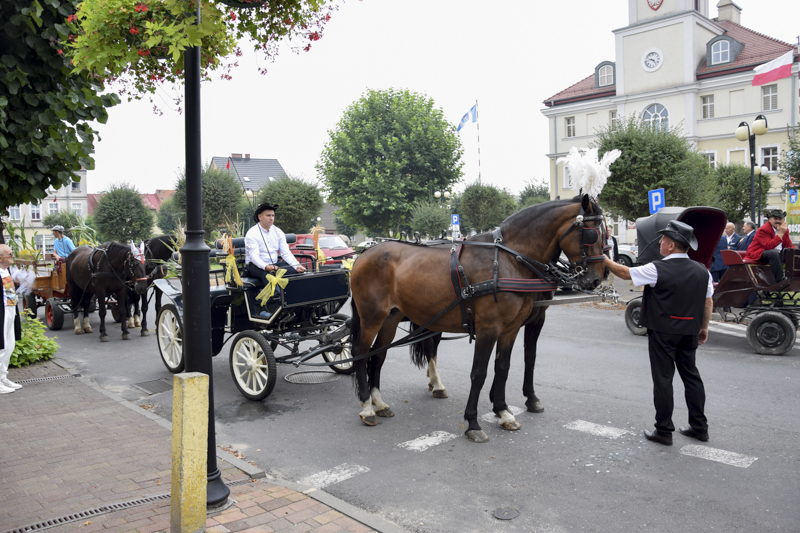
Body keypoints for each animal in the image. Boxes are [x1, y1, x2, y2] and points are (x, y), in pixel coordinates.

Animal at [350, 194, 608, 440]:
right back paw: (367, 407)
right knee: (361, 354)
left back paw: (379, 402)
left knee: (378, 356)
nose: (597, 278)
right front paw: (473, 423)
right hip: (372, 317)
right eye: (592, 234)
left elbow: (504, 367)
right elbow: (479, 372)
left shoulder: (511, 328)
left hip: (391, 318)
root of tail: (364, 253)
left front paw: (503, 411)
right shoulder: (488, 329)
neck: (509, 260)